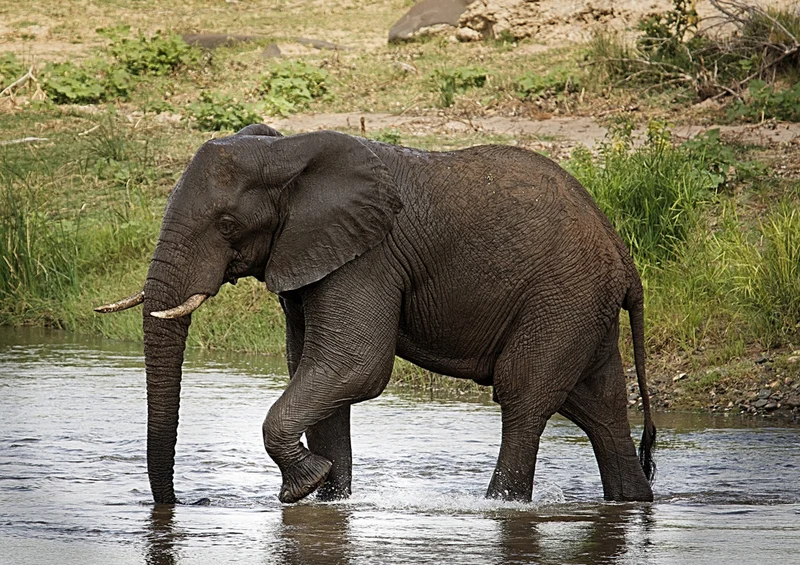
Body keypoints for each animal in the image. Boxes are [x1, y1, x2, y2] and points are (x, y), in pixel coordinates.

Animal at [96, 123, 656, 505]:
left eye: (228, 224)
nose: (187, 502)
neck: (288, 151)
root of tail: (624, 257)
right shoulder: (309, 252)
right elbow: (314, 368)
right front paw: (327, 498)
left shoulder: (368, 256)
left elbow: (353, 365)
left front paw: (302, 487)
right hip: (580, 304)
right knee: (598, 406)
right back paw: (632, 501)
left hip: (562, 296)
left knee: (524, 396)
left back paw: (501, 506)